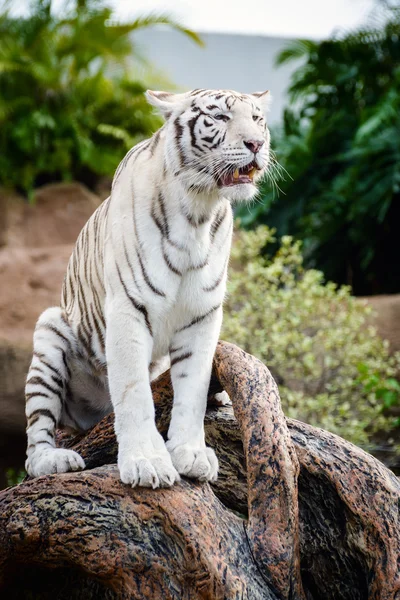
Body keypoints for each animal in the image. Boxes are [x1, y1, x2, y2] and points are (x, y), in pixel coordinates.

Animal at [25, 90, 272, 492]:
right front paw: (146, 462)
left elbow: (192, 389)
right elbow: (133, 392)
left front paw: (191, 453)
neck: (198, 211)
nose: (257, 144)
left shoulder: (203, 316)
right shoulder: (129, 308)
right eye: (220, 117)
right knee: (36, 439)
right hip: (50, 330)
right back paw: (55, 459)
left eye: (257, 119)